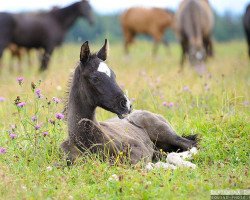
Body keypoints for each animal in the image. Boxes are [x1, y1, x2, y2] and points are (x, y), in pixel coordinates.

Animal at [61, 39, 197, 165]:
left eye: (114, 75)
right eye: (95, 78)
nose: (127, 104)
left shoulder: (140, 150)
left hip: (166, 134)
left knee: (192, 144)